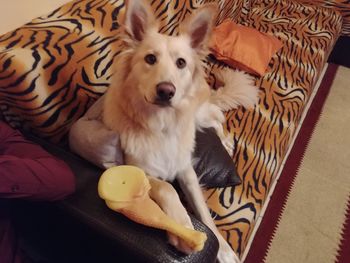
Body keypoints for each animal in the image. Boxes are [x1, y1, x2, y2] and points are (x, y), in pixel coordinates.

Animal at [102, 1, 258, 262]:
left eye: (181, 63)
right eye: (150, 58)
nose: (166, 90)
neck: (161, 124)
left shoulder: (186, 170)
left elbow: (204, 213)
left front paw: (224, 250)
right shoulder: (138, 169)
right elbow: (167, 188)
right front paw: (183, 226)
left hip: (198, 111)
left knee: (216, 116)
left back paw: (225, 142)